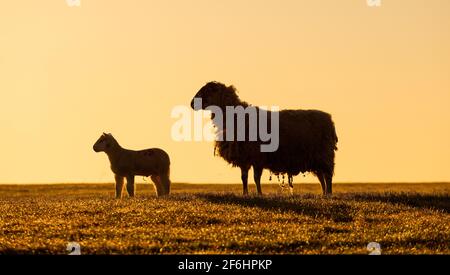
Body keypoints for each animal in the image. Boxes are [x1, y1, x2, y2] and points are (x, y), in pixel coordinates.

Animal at [190, 81, 338, 196]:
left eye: (207, 90)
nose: (192, 103)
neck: (237, 117)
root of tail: (329, 119)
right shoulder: (244, 157)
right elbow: (244, 178)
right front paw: (245, 194)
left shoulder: (257, 156)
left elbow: (256, 178)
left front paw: (259, 193)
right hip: (316, 158)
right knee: (322, 177)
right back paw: (324, 194)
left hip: (324, 155)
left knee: (328, 176)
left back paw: (329, 194)